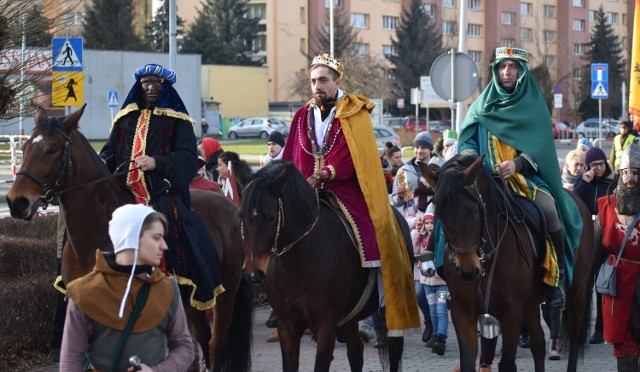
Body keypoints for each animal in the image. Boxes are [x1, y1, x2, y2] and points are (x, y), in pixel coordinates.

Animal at [7, 105, 254, 372]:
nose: (16, 201)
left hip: (225, 290)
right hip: (193, 300)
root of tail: (229, 205)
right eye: (25, 147)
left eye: (52, 149)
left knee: (216, 345)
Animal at [241, 162, 416, 372]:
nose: (254, 273)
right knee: (356, 353)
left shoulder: (326, 326)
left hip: (393, 311)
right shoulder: (287, 325)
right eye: (241, 217)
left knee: (394, 351)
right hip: (350, 318)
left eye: (271, 218)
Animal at [420, 155, 596, 372]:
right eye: (440, 215)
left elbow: (507, 364)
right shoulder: (462, 311)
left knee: (574, 336)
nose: (468, 271)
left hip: (577, 290)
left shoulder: (511, 311)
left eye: (474, 211)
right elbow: (469, 362)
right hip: (530, 303)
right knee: (538, 343)